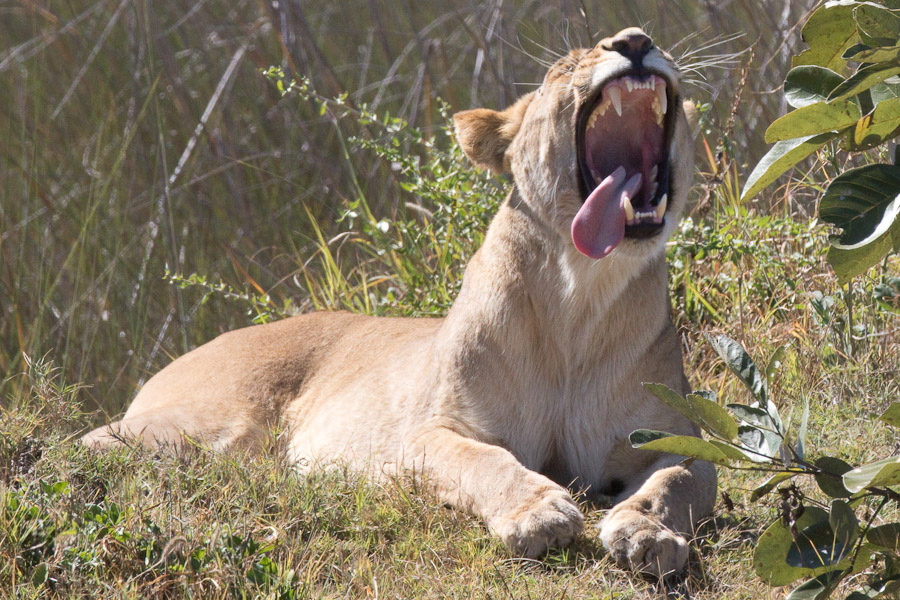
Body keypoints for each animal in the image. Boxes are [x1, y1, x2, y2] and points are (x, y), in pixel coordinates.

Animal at [84, 27, 716, 576]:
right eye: (564, 66)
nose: (635, 41)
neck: (579, 294)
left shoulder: (677, 439)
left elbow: (674, 484)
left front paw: (646, 532)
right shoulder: (426, 433)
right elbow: (484, 462)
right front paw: (539, 514)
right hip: (196, 431)